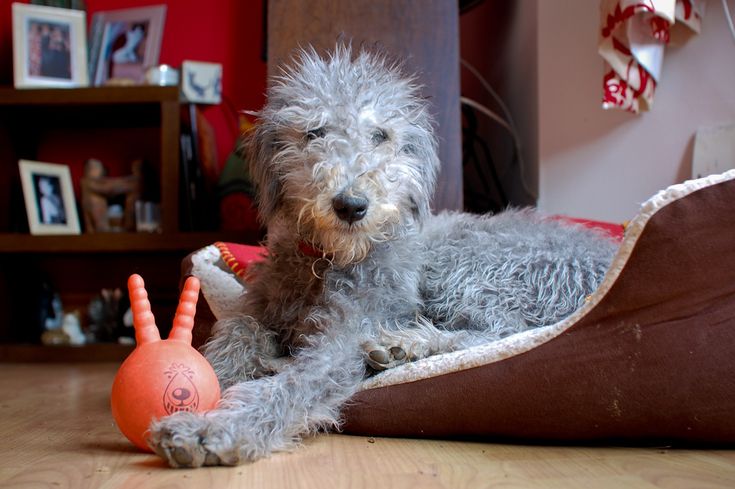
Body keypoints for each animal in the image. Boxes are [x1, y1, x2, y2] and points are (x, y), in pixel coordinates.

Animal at [147, 44, 620, 466]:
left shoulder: (343, 339)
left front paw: (212, 429)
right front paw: (209, 374)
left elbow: (293, 385)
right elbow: (238, 329)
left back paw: (406, 344)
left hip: (469, 263)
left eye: (381, 136)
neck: (327, 260)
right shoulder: (262, 306)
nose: (351, 205)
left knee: (505, 332)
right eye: (314, 133)